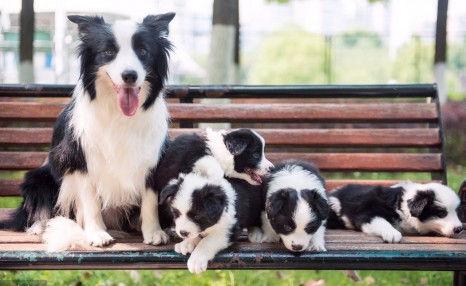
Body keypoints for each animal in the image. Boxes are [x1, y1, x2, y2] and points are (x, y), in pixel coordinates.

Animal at [0, 13, 175, 250]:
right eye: (109, 52)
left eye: (142, 50)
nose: (129, 75)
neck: (118, 114)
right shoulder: (79, 159)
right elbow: (90, 202)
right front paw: (97, 233)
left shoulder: (152, 157)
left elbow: (149, 199)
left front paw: (153, 231)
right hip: (37, 179)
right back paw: (39, 227)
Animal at [326, 181, 464, 241]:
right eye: (441, 213)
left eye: (456, 212)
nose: (459, 228)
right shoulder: (368, 212)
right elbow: (381, 221)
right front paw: (392, 234)